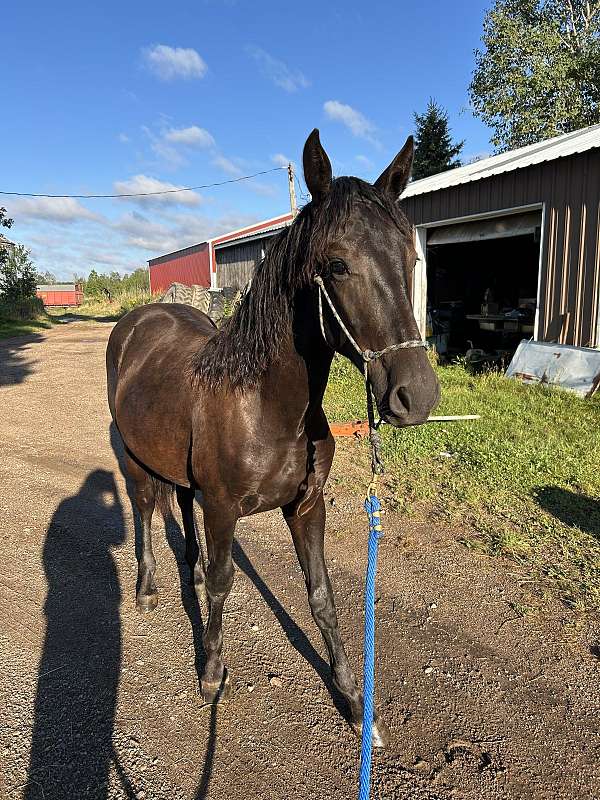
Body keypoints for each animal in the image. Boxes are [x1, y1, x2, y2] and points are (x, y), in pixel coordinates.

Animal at [105, 128, 438, 748]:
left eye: (410, 259)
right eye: (337, 264)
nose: (417, 395)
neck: (268, 408)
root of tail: (140, 317)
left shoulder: (307, 506)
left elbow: (322, 597)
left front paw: (354, 701)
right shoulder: (223, 507)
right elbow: (222, 584)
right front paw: (212, 674)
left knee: (179, 510)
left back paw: (185, 567)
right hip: (136, 461)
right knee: (144, 510)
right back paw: (147, 586)